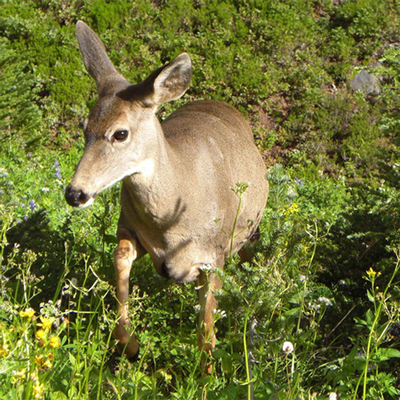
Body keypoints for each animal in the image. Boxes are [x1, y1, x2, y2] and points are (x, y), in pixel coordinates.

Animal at [64, 21, 268, 372]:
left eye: (120, 133)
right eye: (84, 127)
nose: (75, 193)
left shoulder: (212, 257)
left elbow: (206, 332)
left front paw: (206, 376)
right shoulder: (130, 228)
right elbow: (120, 256)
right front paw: (130, 344)